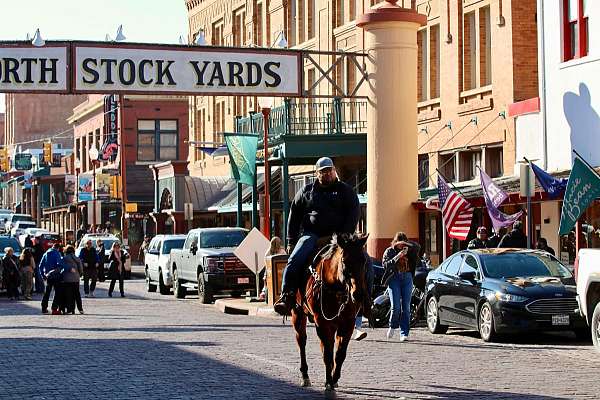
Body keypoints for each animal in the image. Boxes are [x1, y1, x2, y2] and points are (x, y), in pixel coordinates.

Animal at [292, 233, 370, 392]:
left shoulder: (348, 323)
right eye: (345, 261)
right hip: (298, 314)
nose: (358, 295)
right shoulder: (321, 323)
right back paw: (305, 376)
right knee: (302, 341)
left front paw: (334, 379)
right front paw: (328, 381)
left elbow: (339, 354)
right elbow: (327, 354)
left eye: (364, 261)